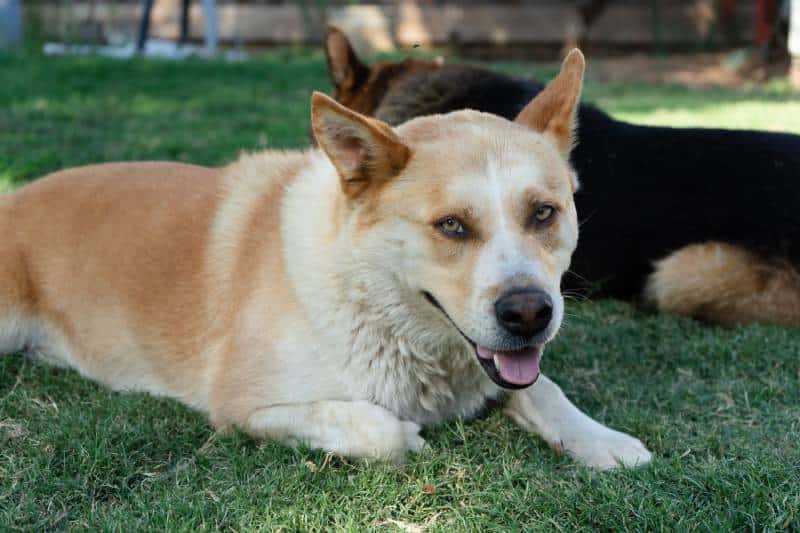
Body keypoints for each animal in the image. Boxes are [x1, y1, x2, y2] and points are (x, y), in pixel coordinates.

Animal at [0, 50, 648, 466]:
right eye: (452, 225)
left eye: (543, 213)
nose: (530, 314)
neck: (365, 289)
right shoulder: (244, 407)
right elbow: (382, 430)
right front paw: (408, 435)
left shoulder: (504, 368)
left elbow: (541, 389)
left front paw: (602, 439)